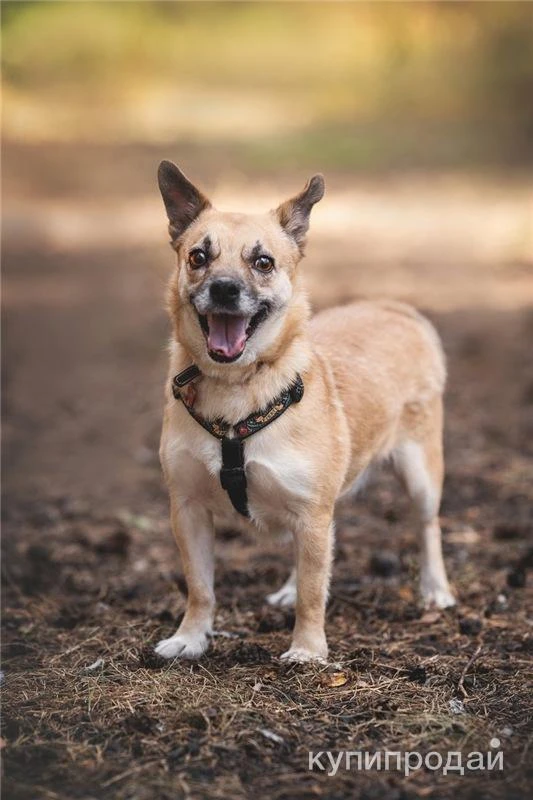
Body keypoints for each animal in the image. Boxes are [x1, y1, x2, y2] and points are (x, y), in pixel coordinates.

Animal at [153, 162, 454, 664]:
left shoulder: (311, 511)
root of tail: (394, 307)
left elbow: (316, 594)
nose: (224, 288)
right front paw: (191, 637)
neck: (237, 387)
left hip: (419, 474)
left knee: (427, 527)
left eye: (263, 262)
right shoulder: (189, 510)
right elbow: (201, 587)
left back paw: (436, 590)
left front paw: (308, 650)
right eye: (198, 256)